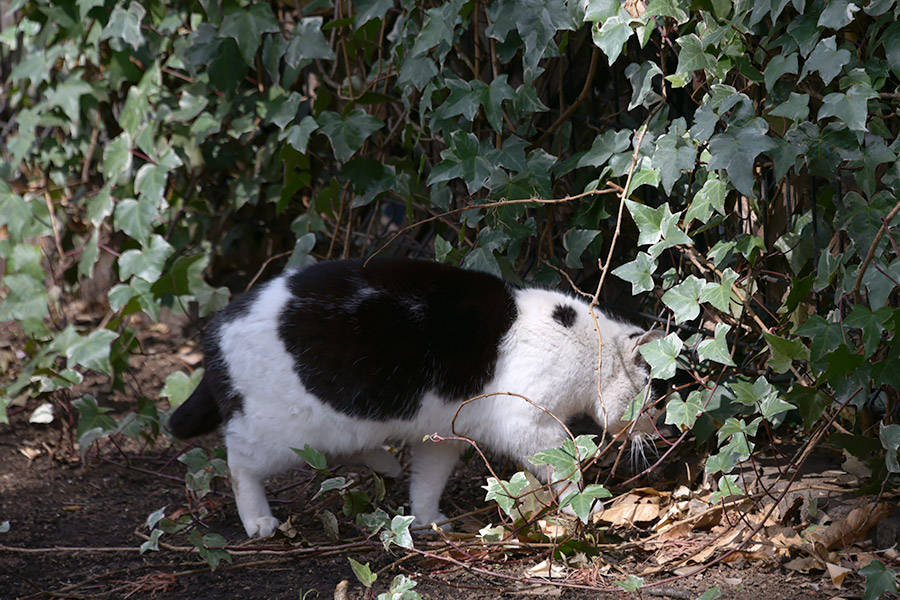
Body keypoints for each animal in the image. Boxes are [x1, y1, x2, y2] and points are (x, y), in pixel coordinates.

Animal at [169, 258, 656, 540]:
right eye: (649, 403)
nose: (656, 431)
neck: (585, 346)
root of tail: (219, 325)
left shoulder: (445, 432)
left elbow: (428, 480)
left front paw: (425, 518)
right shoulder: (528, 422)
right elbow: (565, 460)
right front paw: (583, 501)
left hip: (341, 423)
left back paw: (384, 464)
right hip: (281, 430)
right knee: (238, 461)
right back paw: (257, 521)